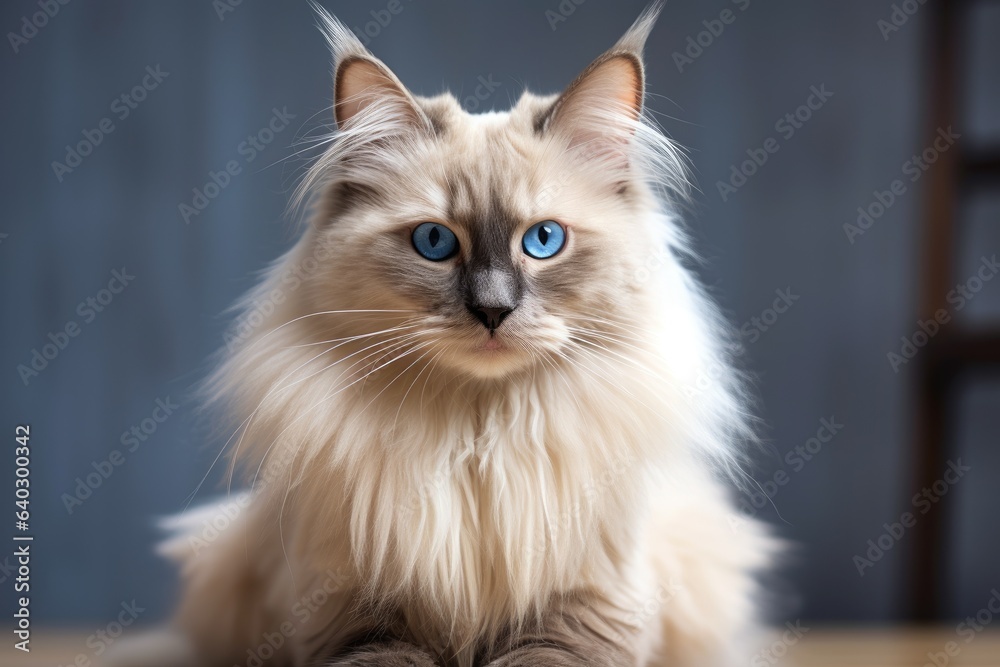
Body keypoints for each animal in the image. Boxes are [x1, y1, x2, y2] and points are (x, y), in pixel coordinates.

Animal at [111, 1, 780, 667]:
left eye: (544, 240)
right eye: (434, 242)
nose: (492, 310)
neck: (476, 445)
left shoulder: (582, 611)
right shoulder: (355, 615)